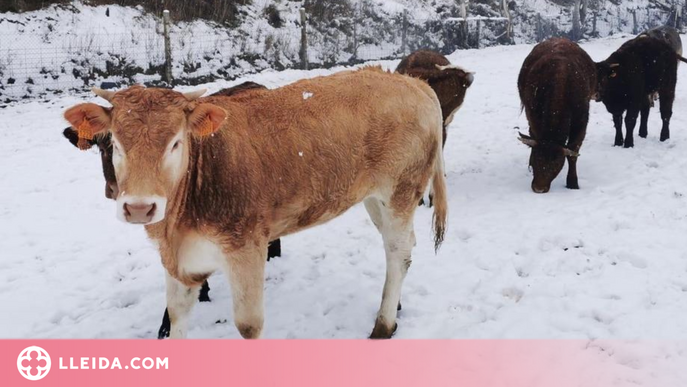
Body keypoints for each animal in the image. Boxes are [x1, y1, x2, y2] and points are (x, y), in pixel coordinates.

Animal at [64, 67, 448, 340]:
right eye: (114, 143)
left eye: (175, 142)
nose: (140, 207)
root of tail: (412, 83)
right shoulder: (181, 258)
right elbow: (176, 314)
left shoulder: (247, 245)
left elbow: (249, 325)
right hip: (375, 199)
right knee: (401, 248)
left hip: (401, 190)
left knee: (398, 251)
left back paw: (383, 326)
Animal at [516, 39, 596, 194]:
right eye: (537, 159)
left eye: (557, 164)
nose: (539, 188)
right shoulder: (533, 116)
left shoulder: (581, 123)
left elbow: (573, 153)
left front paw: (572, 182)